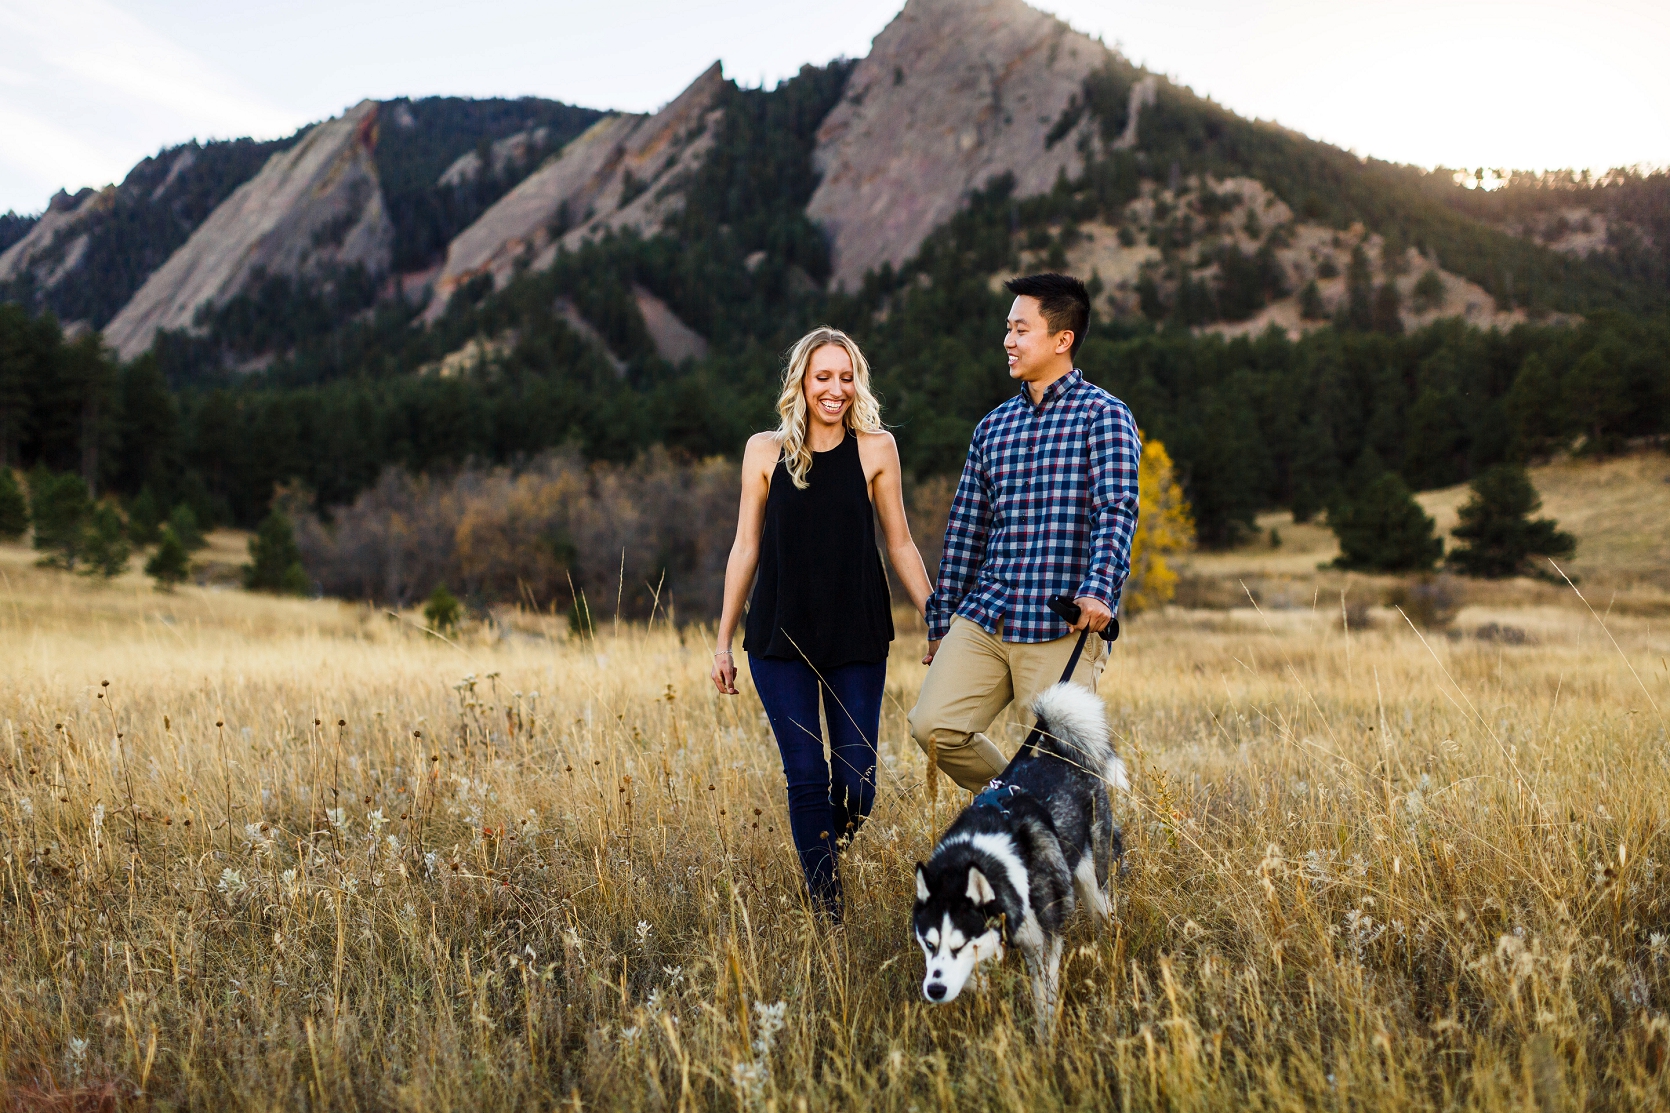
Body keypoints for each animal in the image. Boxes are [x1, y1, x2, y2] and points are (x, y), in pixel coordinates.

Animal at [908, 675, 1128, 1042]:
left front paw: (1045, 1042)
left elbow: (1044, 997)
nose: (934, 991)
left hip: (1093, 881)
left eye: (960, 944)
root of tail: (1057, 756)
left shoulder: (1043, 943)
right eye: (928, 943)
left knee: (1105, 915)